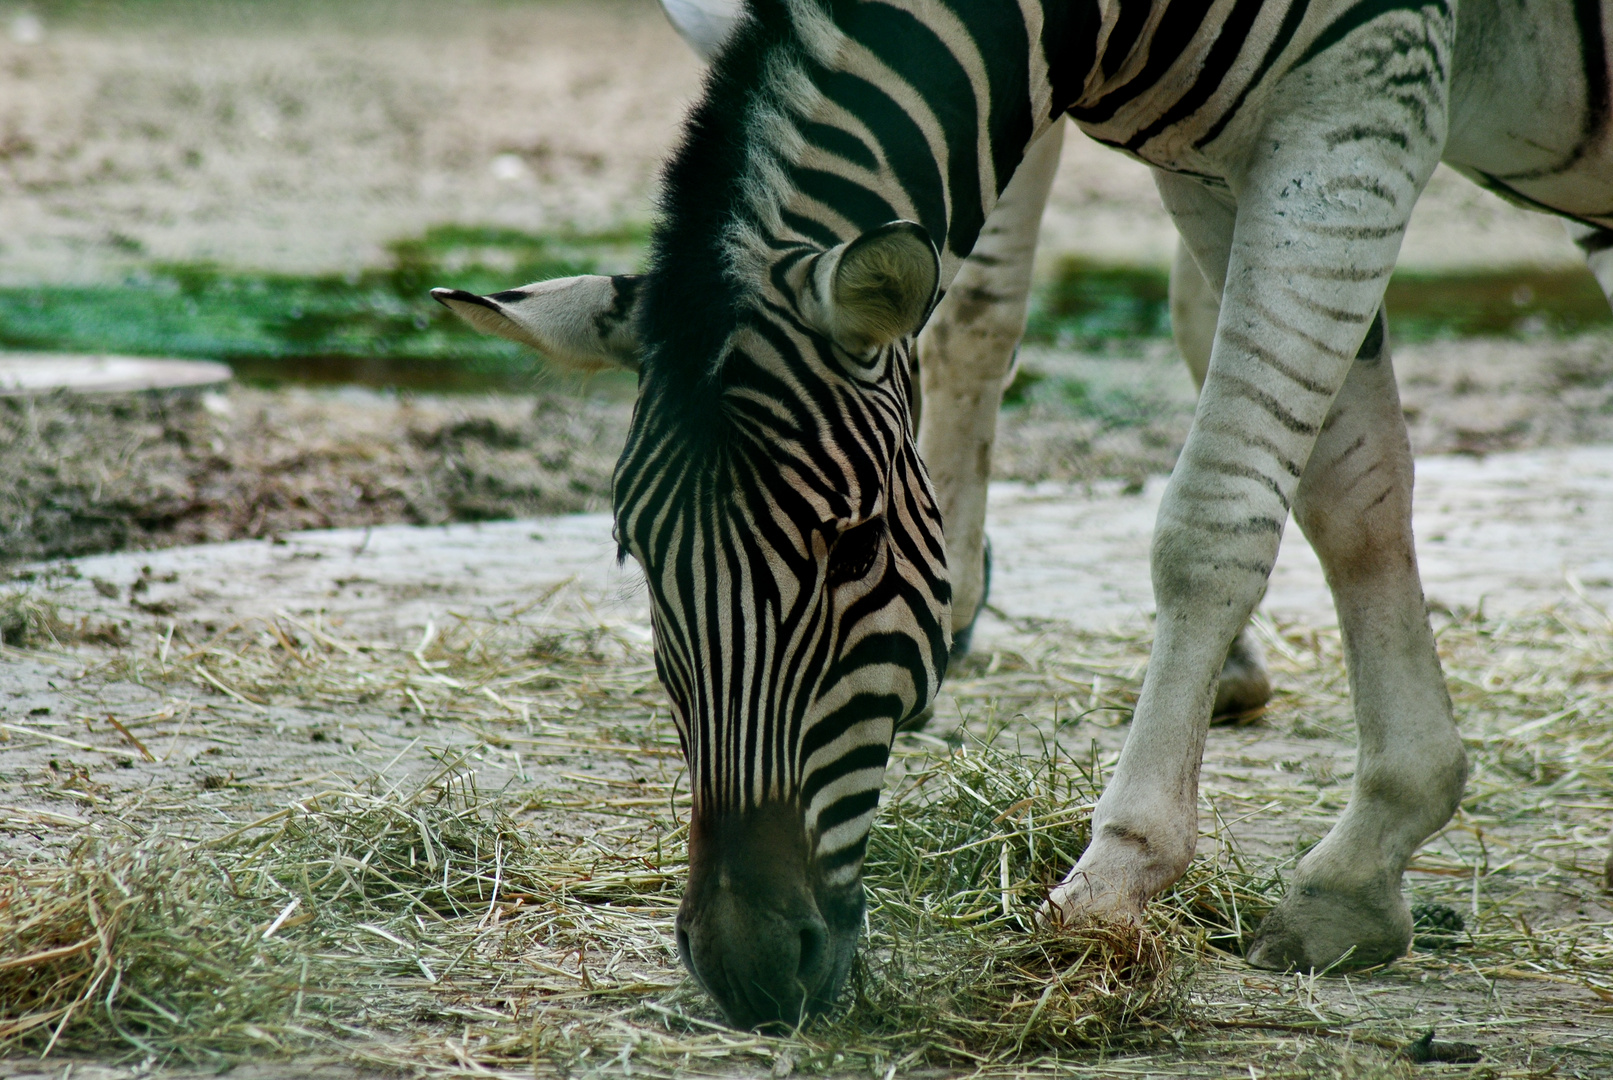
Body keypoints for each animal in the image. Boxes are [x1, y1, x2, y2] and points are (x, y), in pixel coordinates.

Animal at [435, 0, 1613, 1031]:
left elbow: (1211, 516)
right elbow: (1343, 483)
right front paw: (1366, 864)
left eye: (853, 545)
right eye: (637, 559)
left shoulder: (1357, 106)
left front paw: (1115, 879)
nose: (746, 966)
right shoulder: (1221, 161)